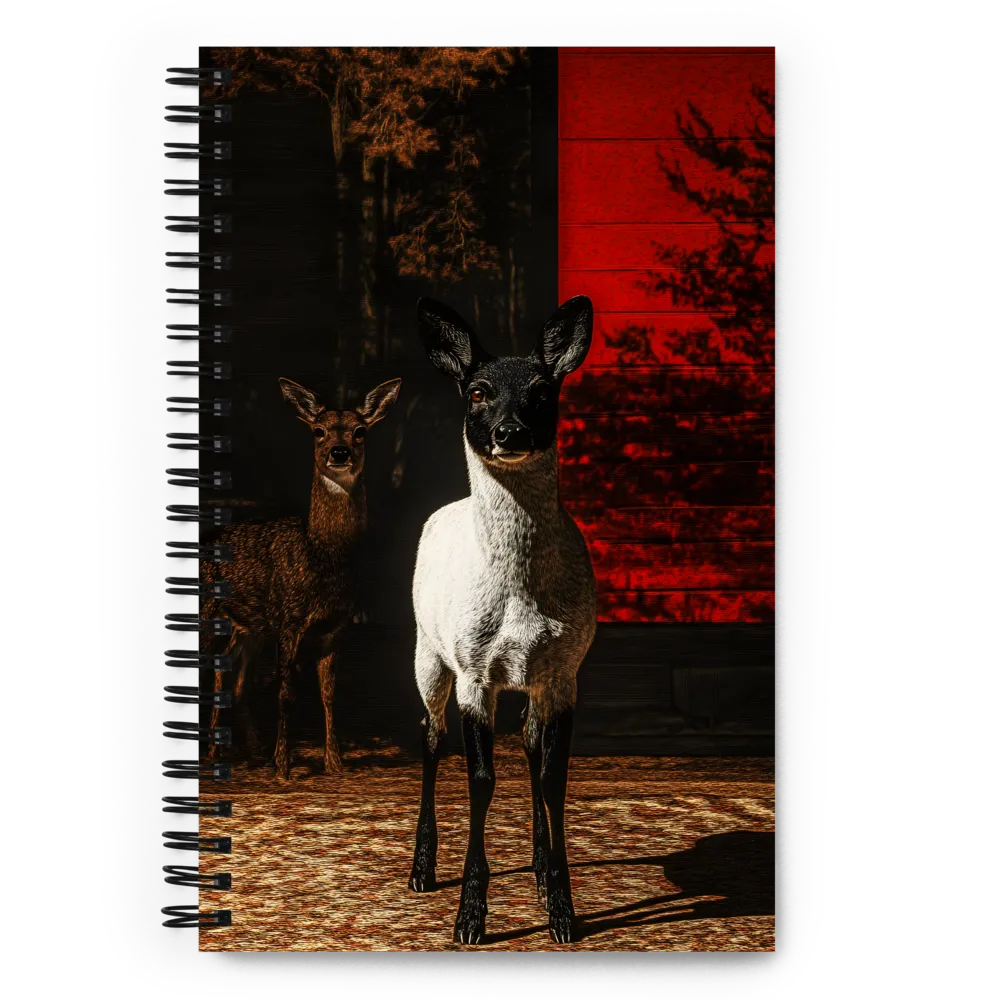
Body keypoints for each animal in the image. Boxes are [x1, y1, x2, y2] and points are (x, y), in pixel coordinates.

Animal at [202, 375, 401, 780]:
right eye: (318, 430)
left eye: (360, 431)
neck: (321, 556)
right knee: (208, 668)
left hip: (249, 628)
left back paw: (247, 752)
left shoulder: (335, 626)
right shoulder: (289, 618)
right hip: (207, 609)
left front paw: (334, 763)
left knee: (233, 675)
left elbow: (328, 692)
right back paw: (216, 753)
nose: (339, 452)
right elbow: (286, 691)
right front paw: (284, 766)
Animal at [408, 296, 597, 945]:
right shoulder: (474, 671)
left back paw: (537, 867)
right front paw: (469, 916)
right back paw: (420, 870)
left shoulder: (564, 670)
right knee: (430, 736)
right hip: (427, 653)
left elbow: (552, 776)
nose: (508, 432)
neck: (518, 599)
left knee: (531, 744)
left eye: (542, 389)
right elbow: (481, 779)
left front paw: (562, 911)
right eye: (478, 391)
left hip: (532, 680)